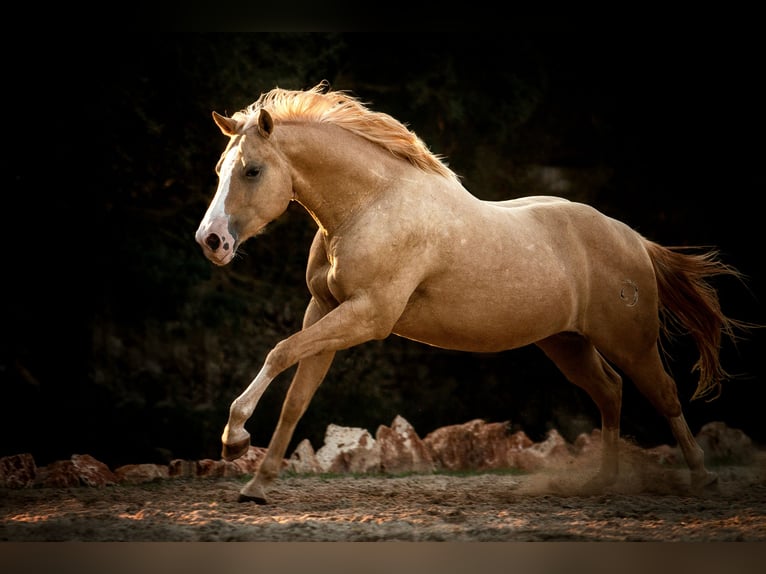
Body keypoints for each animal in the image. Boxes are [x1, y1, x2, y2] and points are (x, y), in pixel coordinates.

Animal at [195, 81, 743, 504]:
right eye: (220, 170)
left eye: (252, 170)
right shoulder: (324, 312)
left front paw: (233, 438)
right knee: (609, 391)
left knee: (664, 394)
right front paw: (256, 485)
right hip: (567, 344)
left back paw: (703, 480)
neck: (372, 205)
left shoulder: (366, 316)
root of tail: (634, 240)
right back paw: (601, 483)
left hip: (630, 341)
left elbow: (278, 352)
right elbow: (295, 397)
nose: (211, 241)